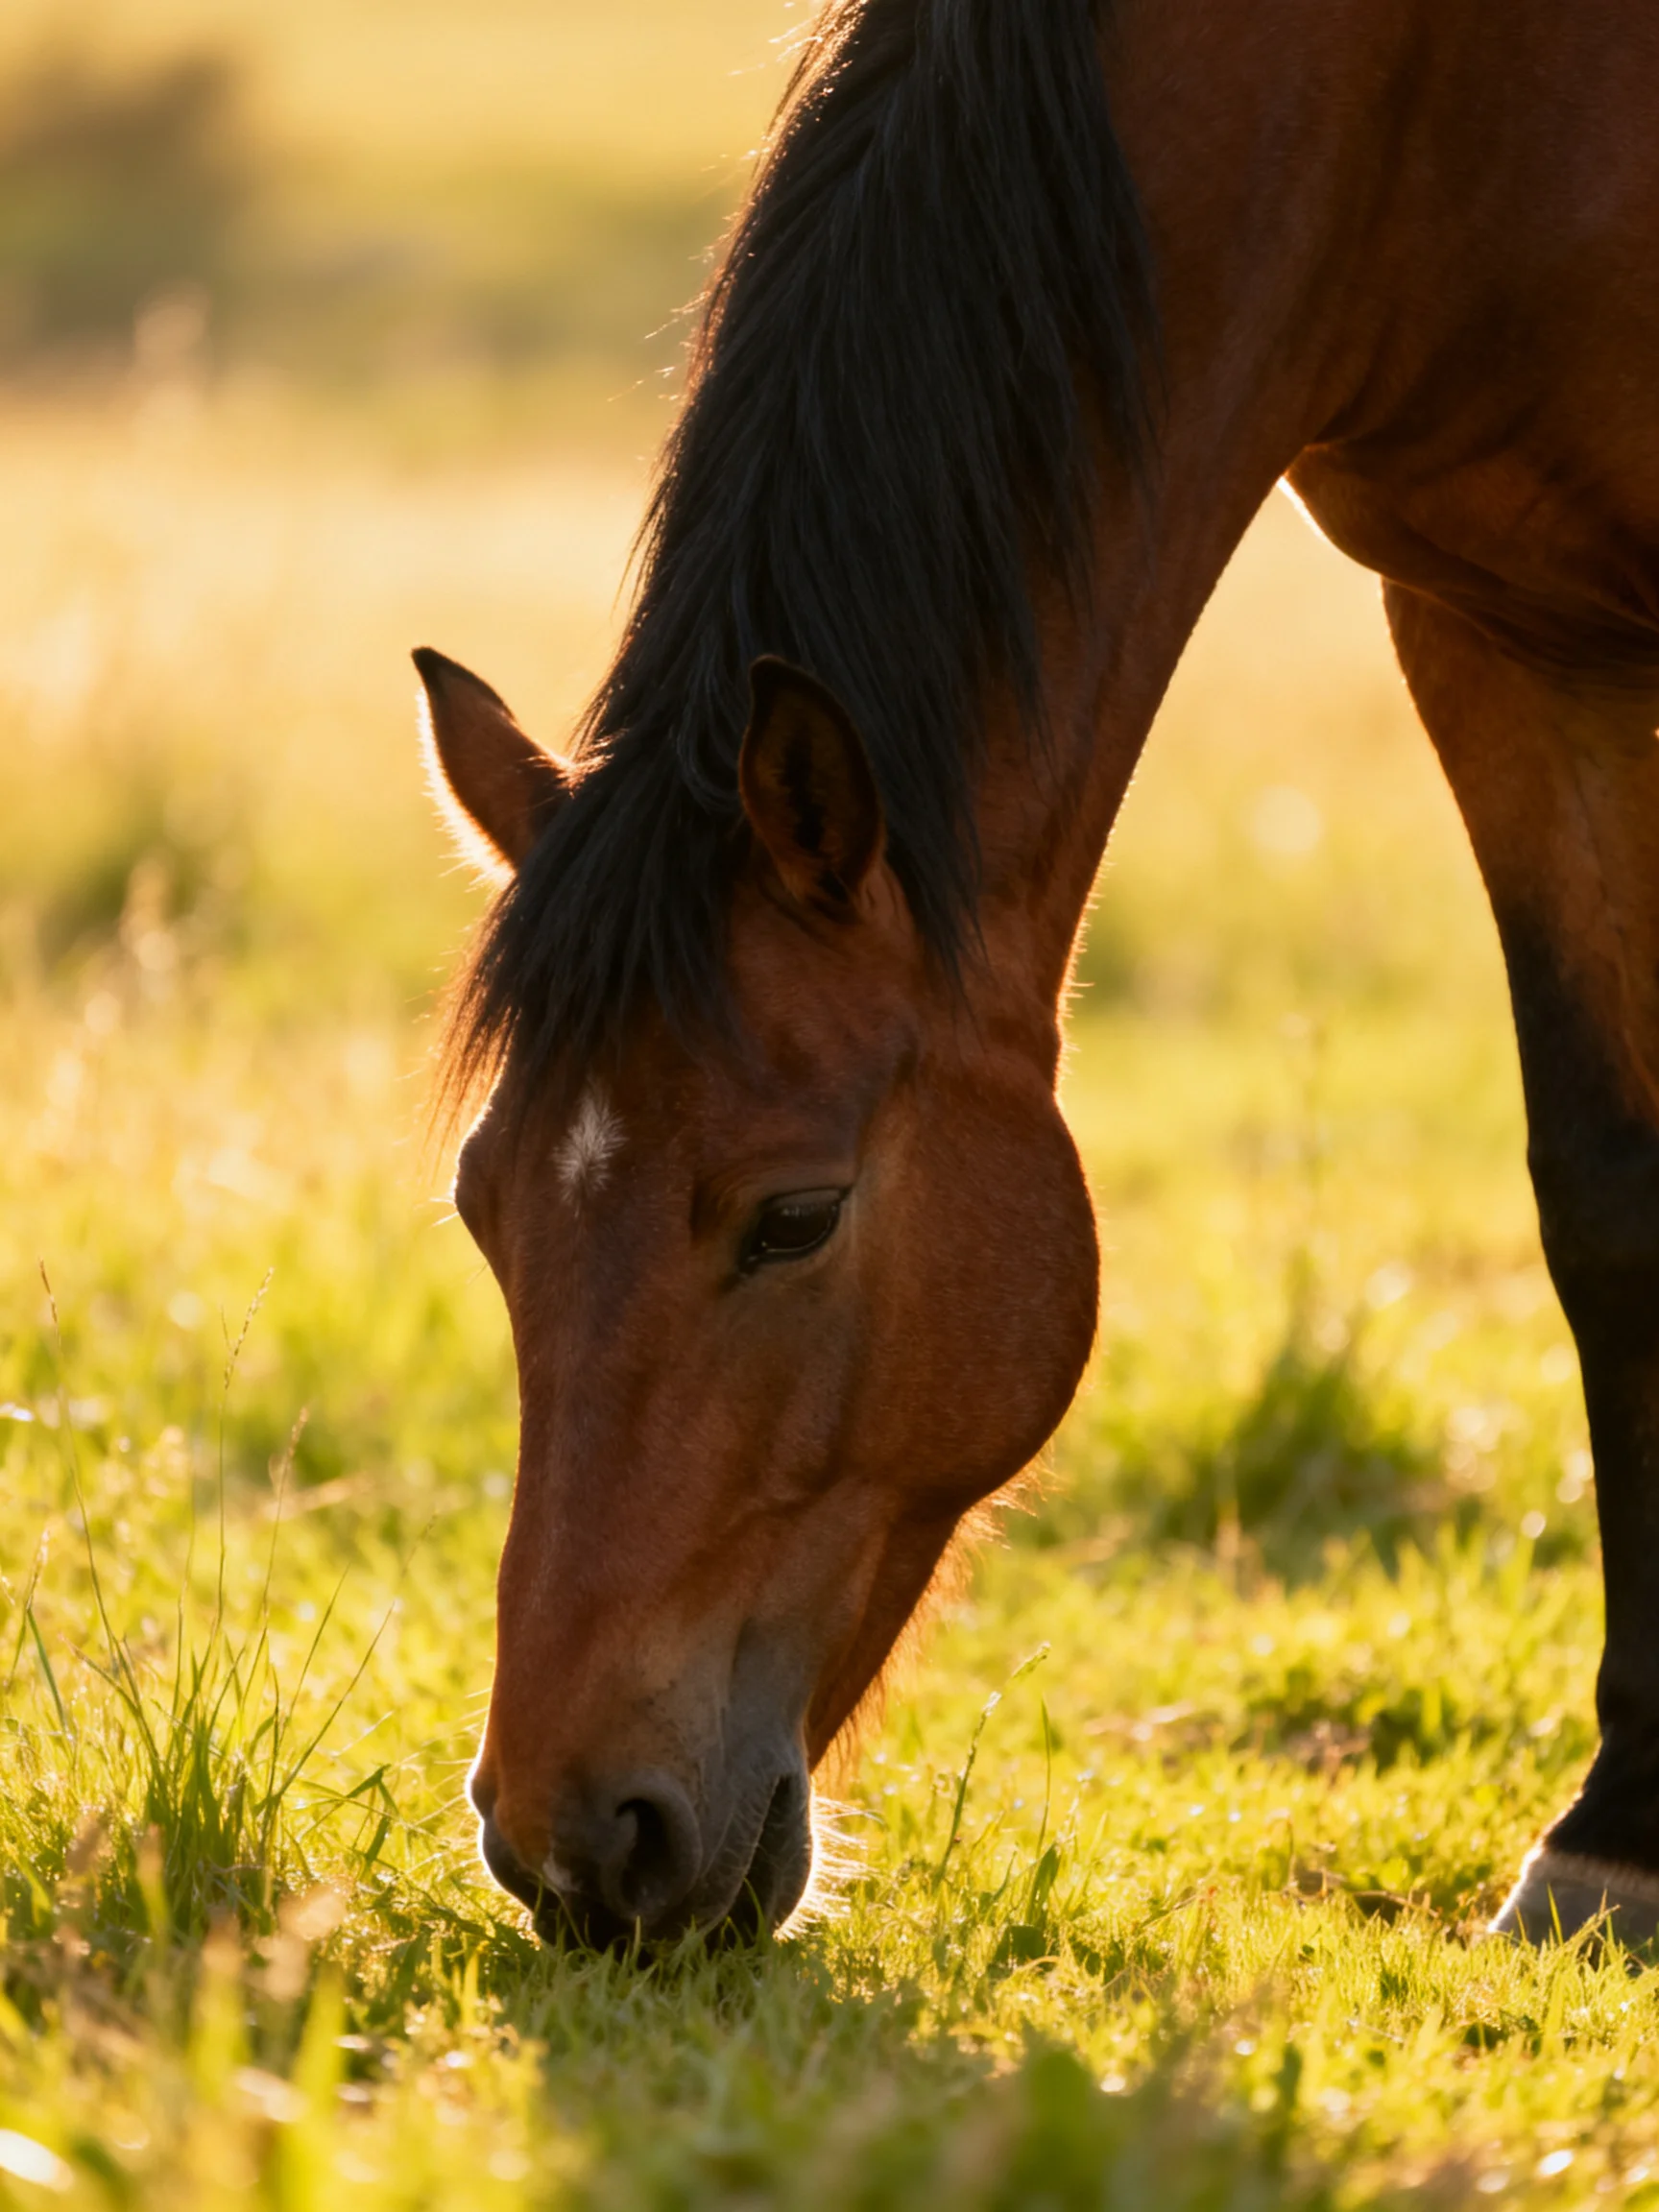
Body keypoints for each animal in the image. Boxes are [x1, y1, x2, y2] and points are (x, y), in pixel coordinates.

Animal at [413, 0, 1659, 1950]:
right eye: (485, 1209)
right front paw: (1620, 1829)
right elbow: (1609, 1204)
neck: (1438, 103)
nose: (573, 1844)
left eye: (795, 1216)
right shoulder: (1500, 633)